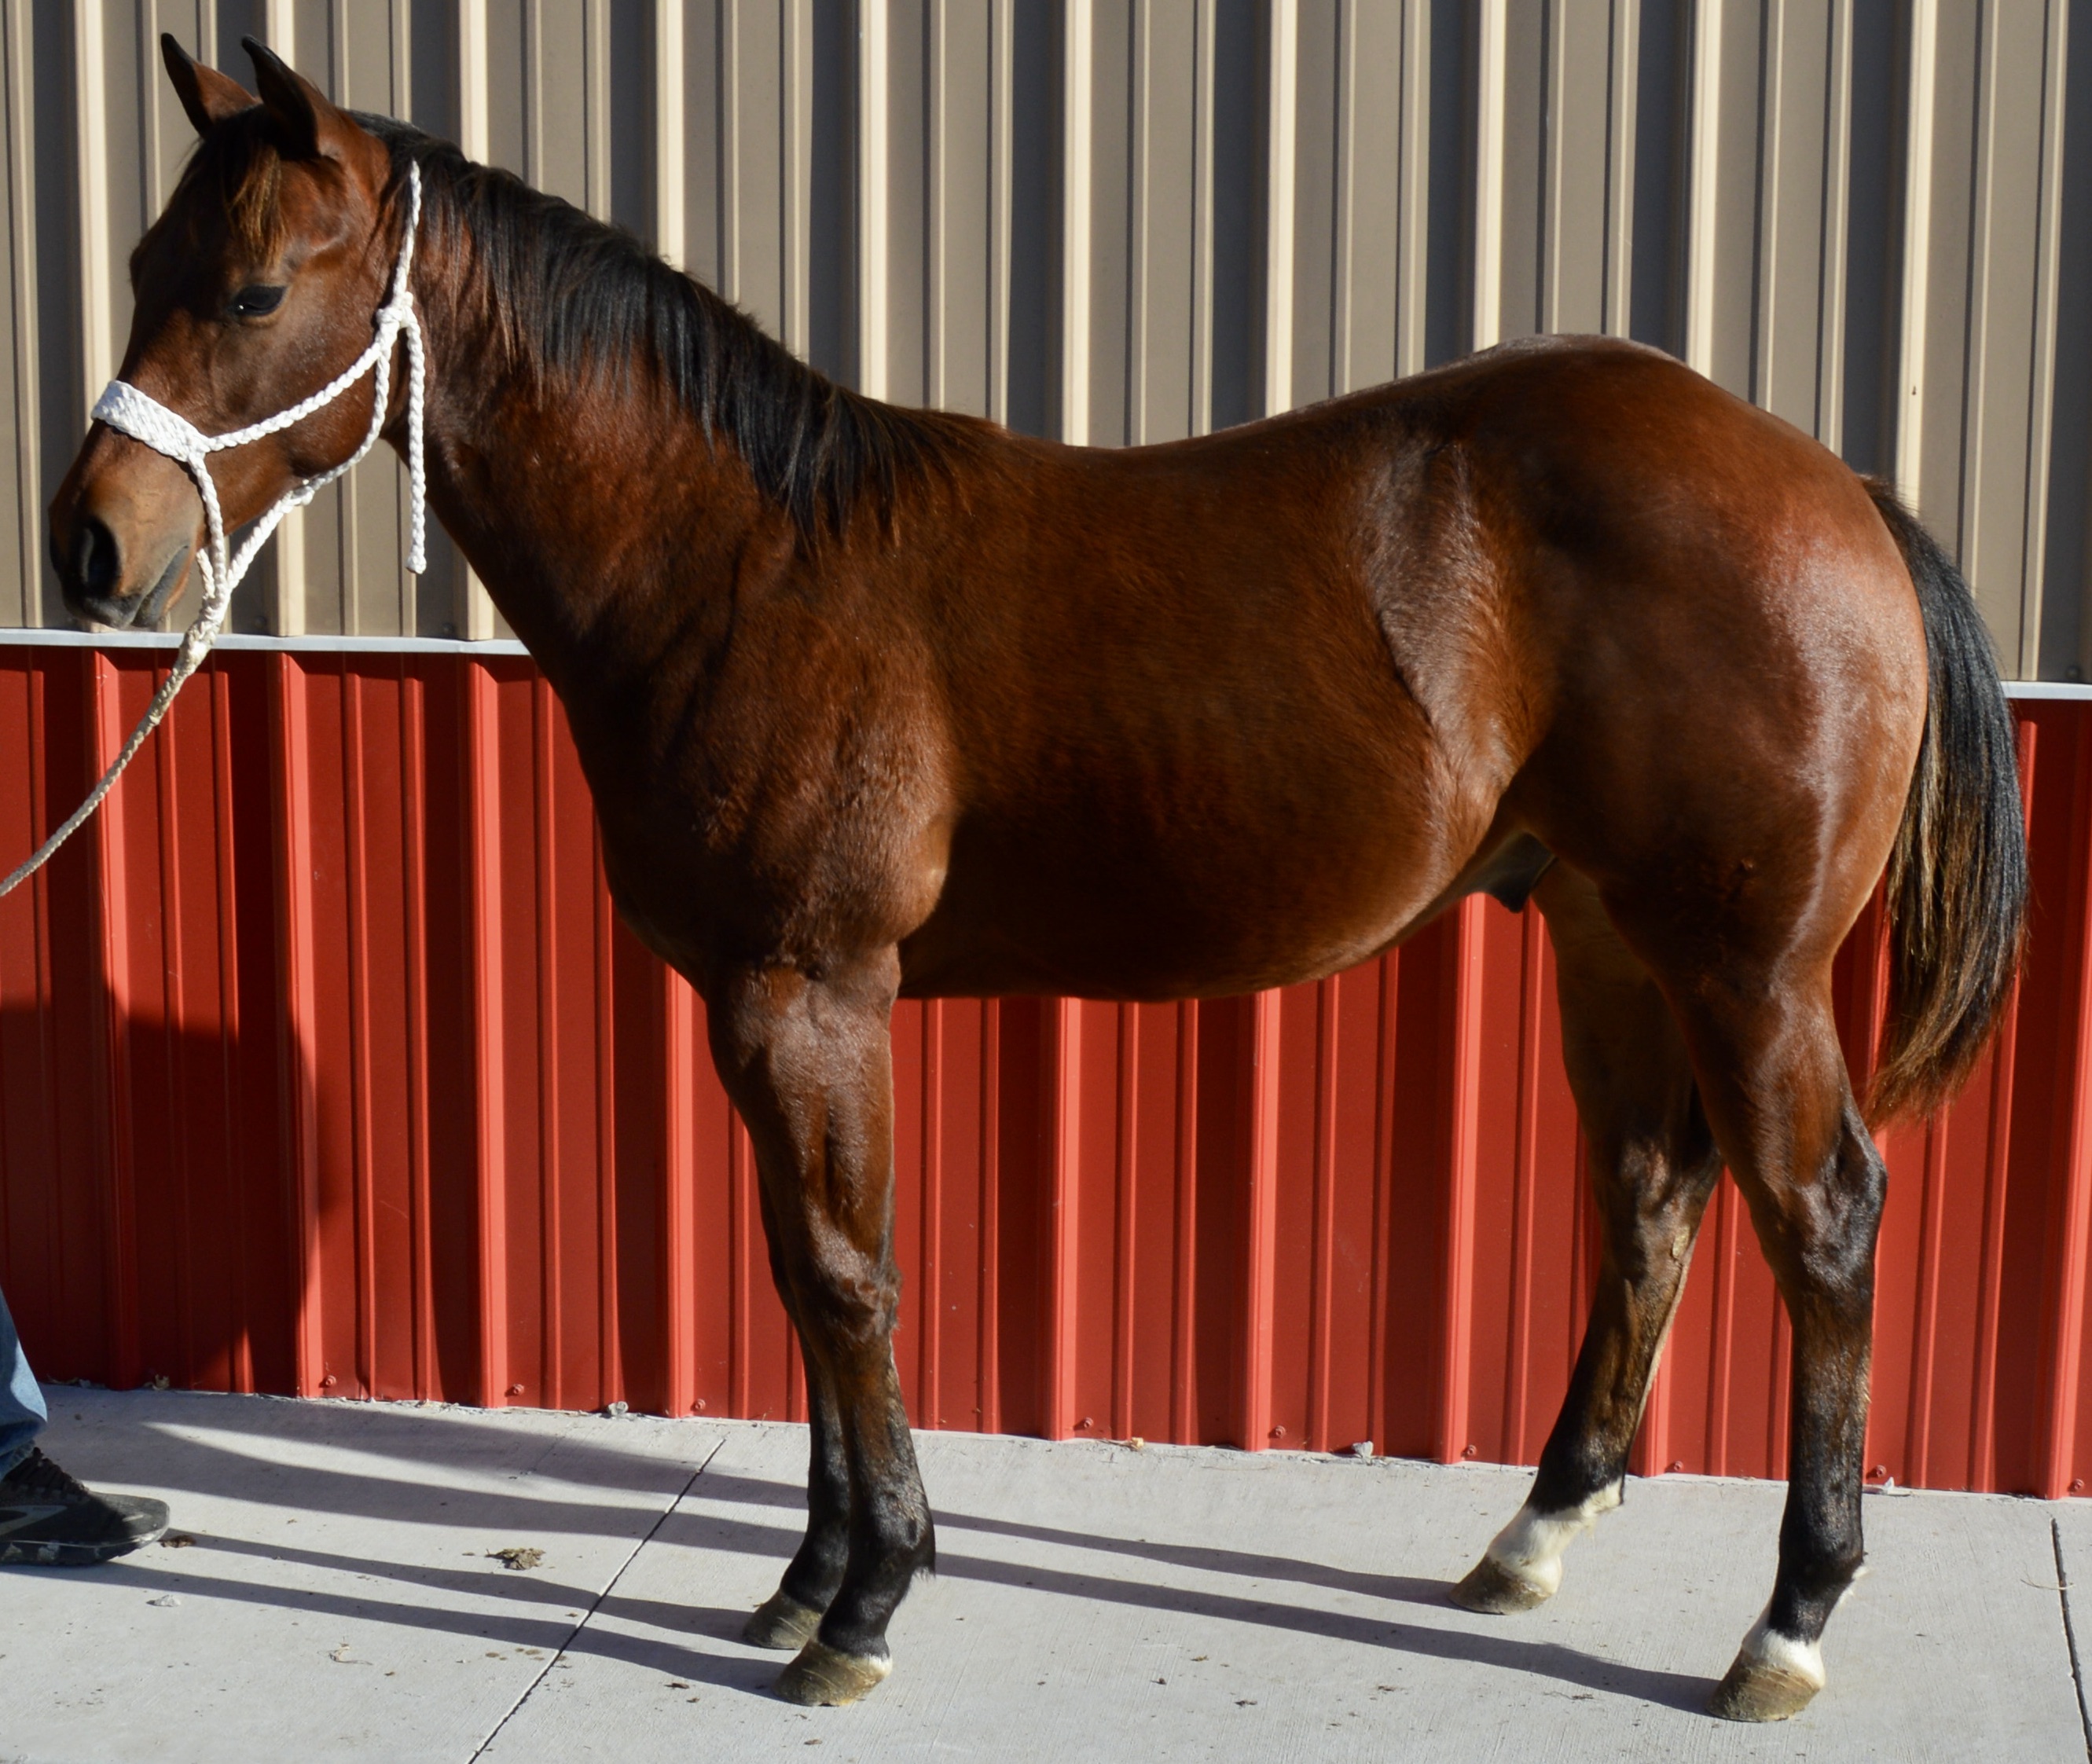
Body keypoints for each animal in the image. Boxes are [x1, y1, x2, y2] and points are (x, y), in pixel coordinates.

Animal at [48, 38, 2026, 1723]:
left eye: (249, 292)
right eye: (141, 256)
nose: (87, 545)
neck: (740, 557)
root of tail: (1832, 485)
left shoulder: (809, 992)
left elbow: (846, 1279)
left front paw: (860, 1606)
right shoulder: (758, 1004)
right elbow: (797, 1274)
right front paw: (802, 1576)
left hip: (1746, 972)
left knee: (1820, 1224)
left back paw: (1784, 1621)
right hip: (1612, 941)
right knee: (1648, 1201)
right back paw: (1535, 1531)